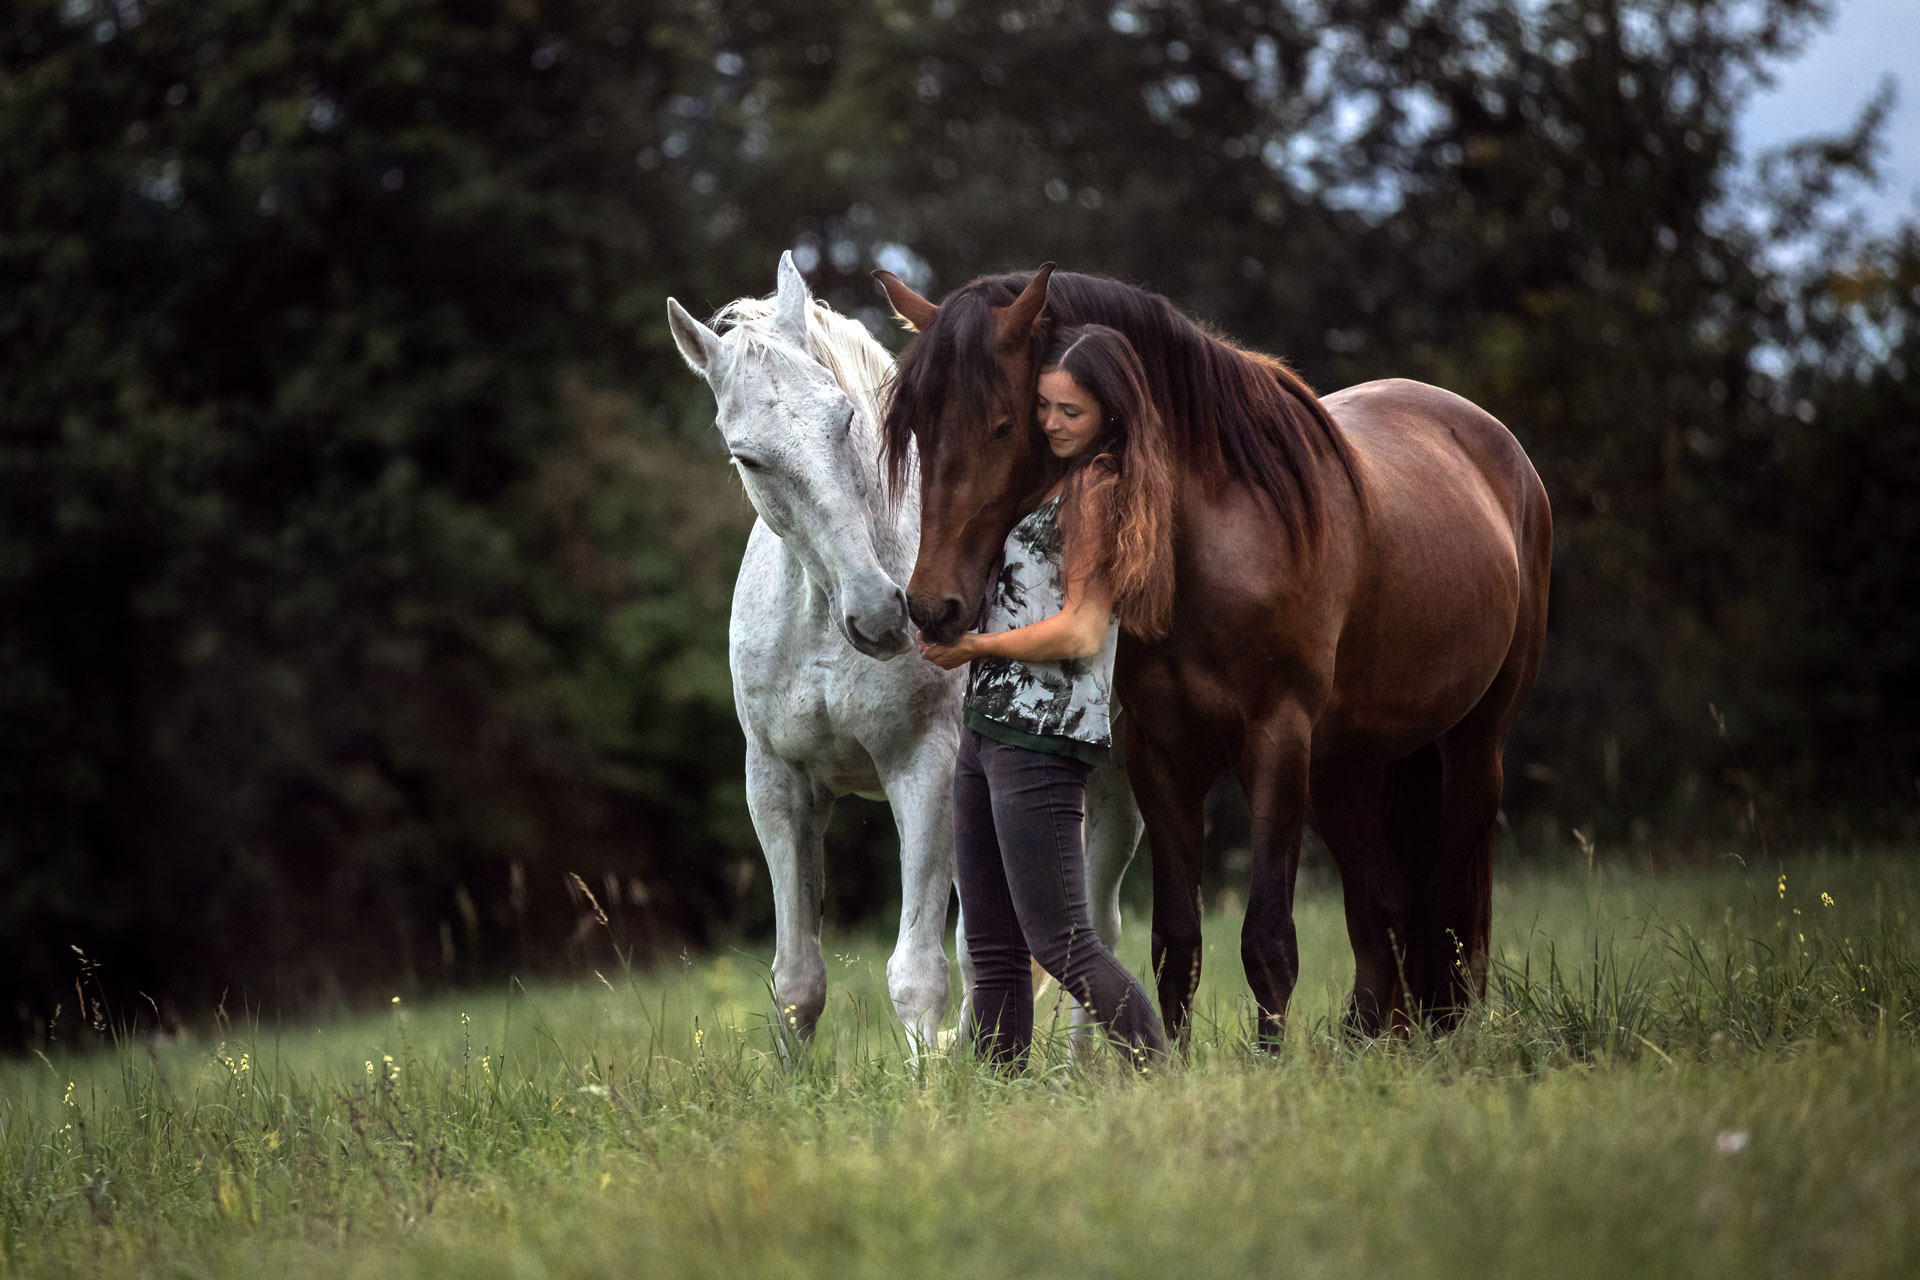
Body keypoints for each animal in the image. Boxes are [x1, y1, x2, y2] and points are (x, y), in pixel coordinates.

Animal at [668, 253, 1136, 1051]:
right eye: (748, 457)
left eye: (845, 418)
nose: (883, 613)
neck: (819, 624)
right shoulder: (778, 784)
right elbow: (797, 983)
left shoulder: (925, 768)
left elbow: (919, 974)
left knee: (1091, 927)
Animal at [879, 264, 1551, 1043]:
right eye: (918, 427)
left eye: (1004, 423)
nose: (934, 609)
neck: (1208, 540)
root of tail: (1496, 445)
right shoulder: (1164, 756)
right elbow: (1176, 942)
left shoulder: (1277, 744)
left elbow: (1267, 940)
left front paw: (1272, 1061)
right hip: (1348, 766)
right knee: (1381, 913)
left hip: (1473, 748)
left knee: (1451, 917)